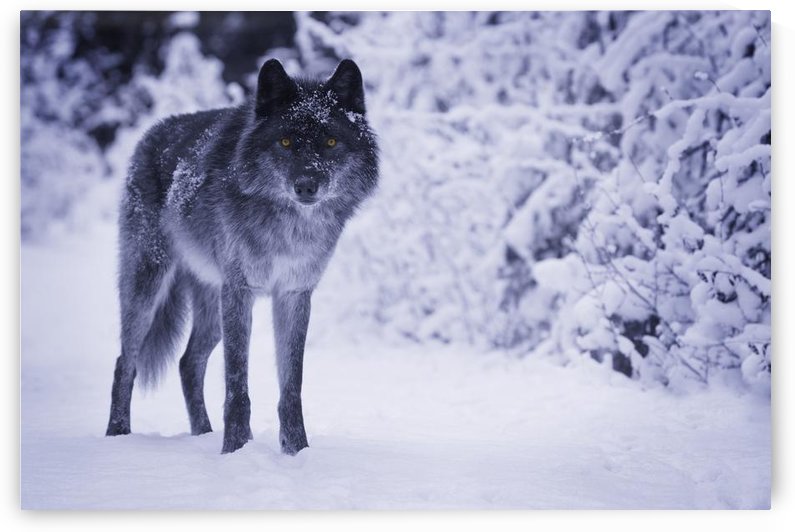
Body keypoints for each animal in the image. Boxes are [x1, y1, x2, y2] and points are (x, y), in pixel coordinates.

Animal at [105, 58, 378, 454]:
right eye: (285, 142)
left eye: (330, 142)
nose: (306, 186)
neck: (289, 228)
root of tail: (151, 133)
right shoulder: (240, 290)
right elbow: (237, 383)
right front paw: (235, 449)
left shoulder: (294, 294)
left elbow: (291, 387)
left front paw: (296, 452)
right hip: (148, 286)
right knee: (125, 362)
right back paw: (117, 436)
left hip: (211, 305)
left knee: (188, 363)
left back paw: (202, 434)